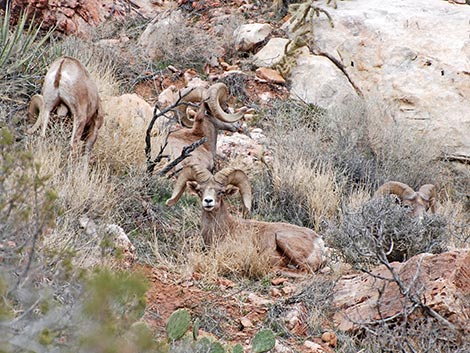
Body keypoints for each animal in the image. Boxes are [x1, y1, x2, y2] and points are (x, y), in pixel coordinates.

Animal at [166, 164, 326, 270]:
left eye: (221, 192)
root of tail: (318, 241)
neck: (223, 230)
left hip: (283, 239)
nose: (208, 201)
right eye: (200, 190)